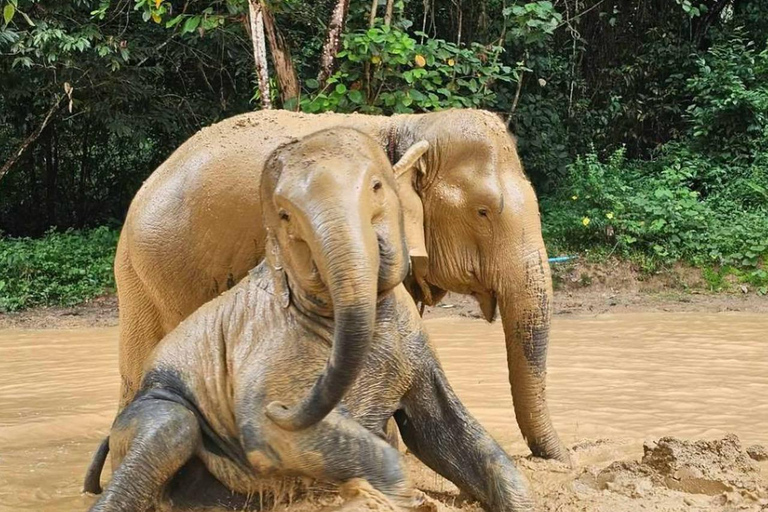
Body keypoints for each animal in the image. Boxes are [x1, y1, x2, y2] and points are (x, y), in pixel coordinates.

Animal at [87, 128, 534, 512]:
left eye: (376, 187)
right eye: (285, 215)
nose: (284, 405)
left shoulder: (412, 342)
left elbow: (442, 431)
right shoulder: (271, 348)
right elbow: (265, 429)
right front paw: (399, 498)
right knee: (173, 425)